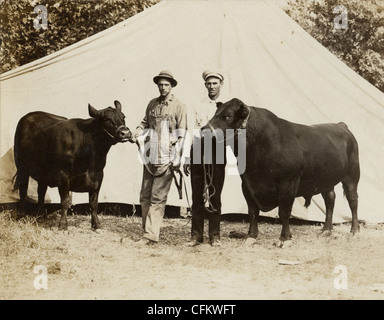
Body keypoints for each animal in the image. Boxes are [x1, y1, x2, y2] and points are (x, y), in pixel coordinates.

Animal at [13, 100, 132, 230]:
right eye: (107, 119)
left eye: (123, 117)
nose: (125, 133)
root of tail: (29, 115)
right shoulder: (63, 175)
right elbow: (65, 201)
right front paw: (63, 225)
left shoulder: (98, 175)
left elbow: (94, 203)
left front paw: (96, 224)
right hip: (22, 167)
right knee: (23, 189)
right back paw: (22, 214)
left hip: (43, 172)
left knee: (41, 191)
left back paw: (41, 215)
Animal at [204, 97, 360, 248]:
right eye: (215, 113)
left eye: (228, 116)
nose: (204, 130)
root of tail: (341, 125)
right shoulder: (247, 185)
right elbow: (253, 212)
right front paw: (251, 237)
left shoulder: (288, 184)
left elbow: (284, 213)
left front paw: (285, 239)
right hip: (326, 179)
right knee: (330, 199)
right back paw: (326, 230)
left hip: (352, 175)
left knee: (353, 200)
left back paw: (354, 231)